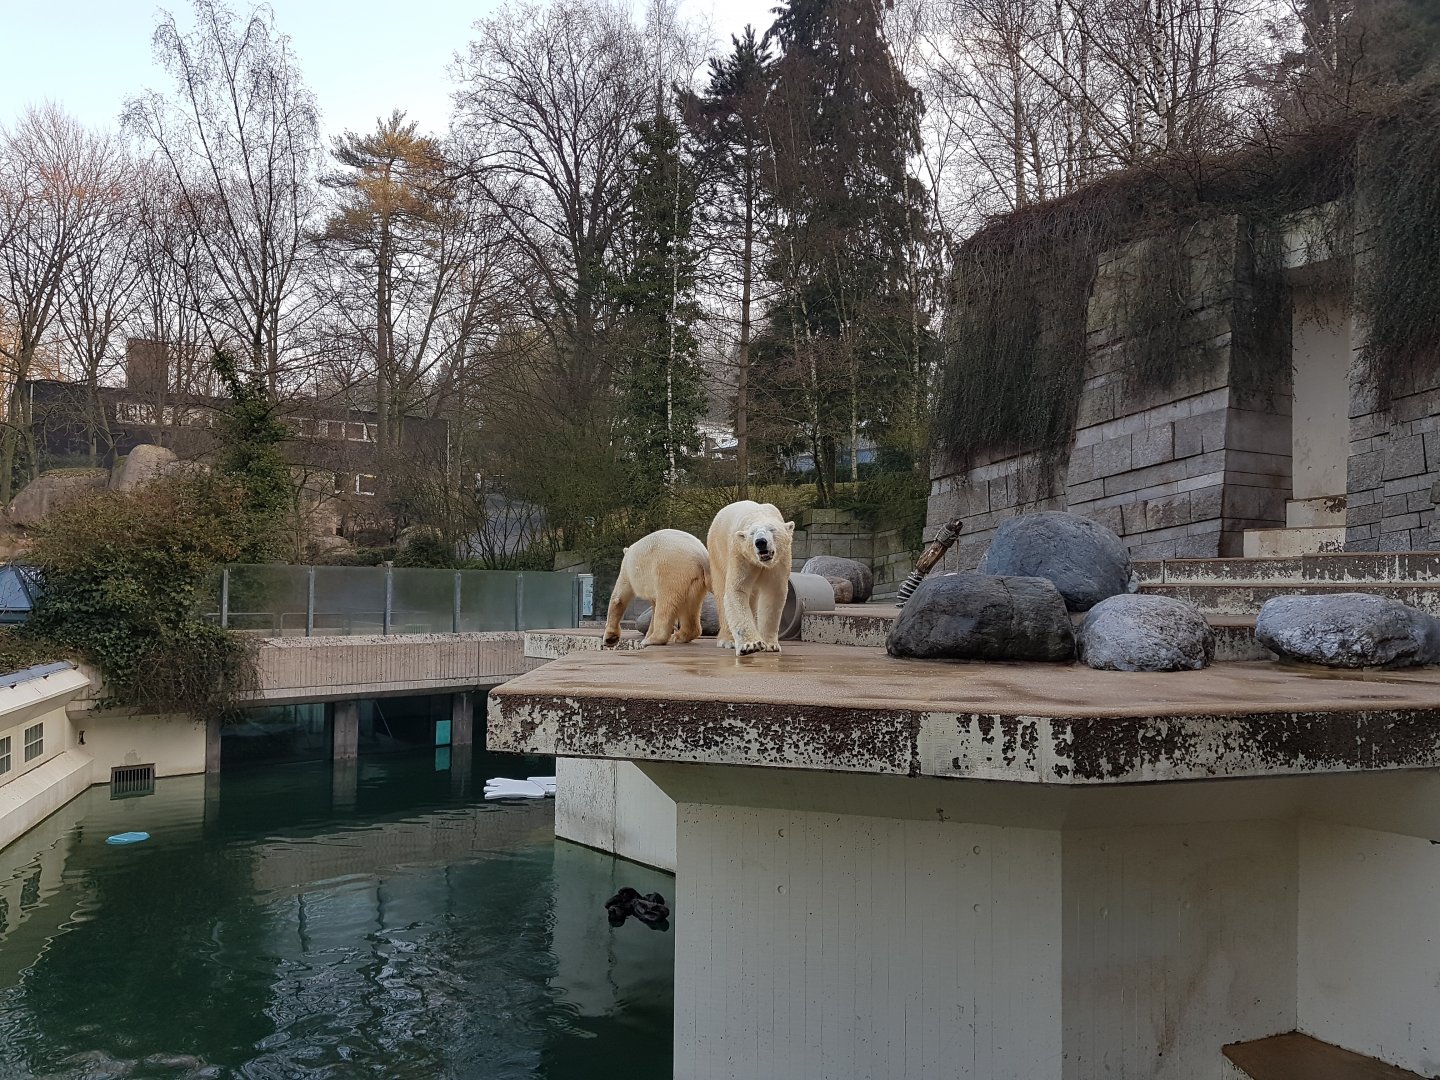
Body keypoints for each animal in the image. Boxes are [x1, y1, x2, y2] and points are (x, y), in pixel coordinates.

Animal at [706, 500, 795, 658]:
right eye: (752, 533)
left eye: (772, 529)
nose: (760, 542)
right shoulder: (740, 554)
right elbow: (736, 591)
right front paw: (751, 645)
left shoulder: (780, 560)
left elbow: (773, 593)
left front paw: (770, 645)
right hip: (717, 552)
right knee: (721, 592)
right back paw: (727, 640)